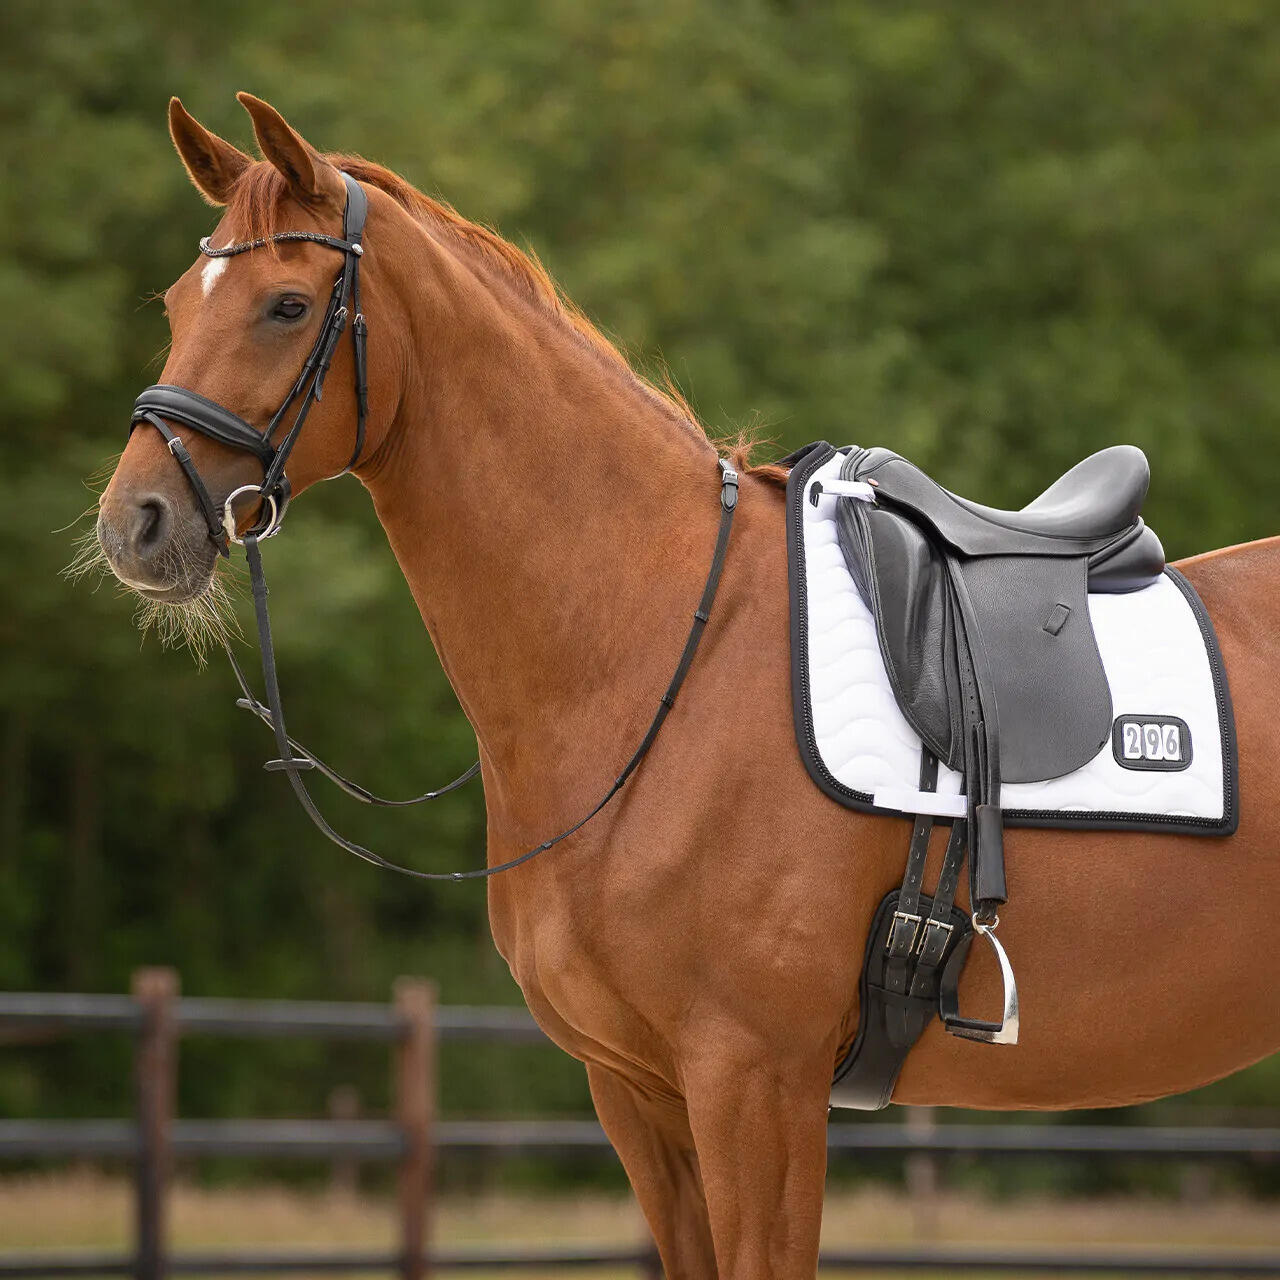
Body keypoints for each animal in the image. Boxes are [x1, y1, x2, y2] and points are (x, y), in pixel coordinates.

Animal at [93, 94, 1280, 1278]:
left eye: (287, 305)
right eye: (177, 302)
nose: (134, 522)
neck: (660, 653)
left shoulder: (753, 1082)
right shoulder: (638, 1093)